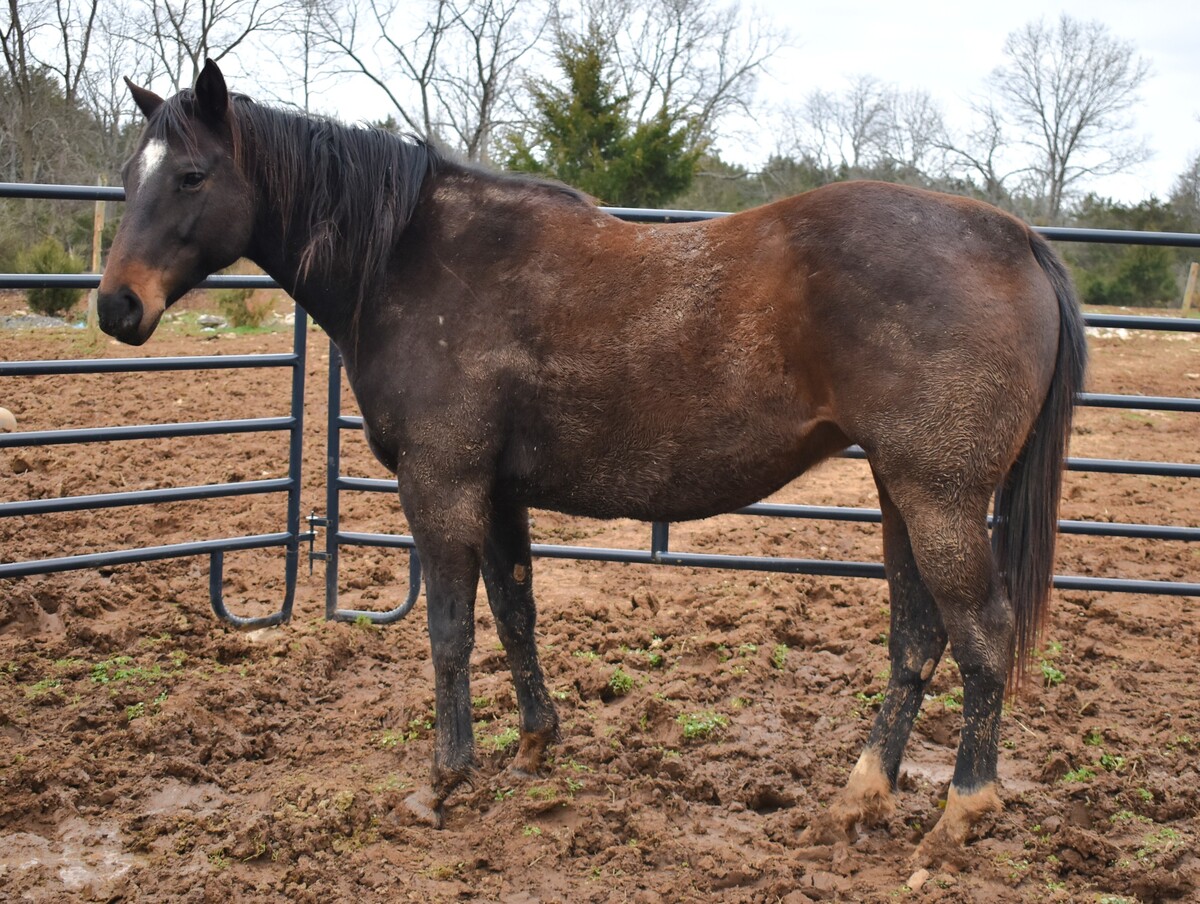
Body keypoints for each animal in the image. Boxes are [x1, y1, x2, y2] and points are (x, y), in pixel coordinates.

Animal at [98, 60, 1086, 865]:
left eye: (191, 175)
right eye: (127, 175)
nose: (115, 307)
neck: (414, 259)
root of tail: (1017, 239)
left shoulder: (441, 483)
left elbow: (449, 631)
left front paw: (443, 781)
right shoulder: (496, 493)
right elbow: (515, 613)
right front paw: (536, 744)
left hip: (939, 497)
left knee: (982, 637)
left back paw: (959, 816)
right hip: (897, 493)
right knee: (918, 639)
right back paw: (858, 801)